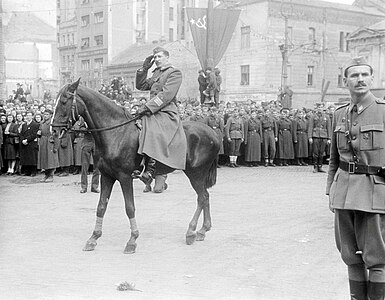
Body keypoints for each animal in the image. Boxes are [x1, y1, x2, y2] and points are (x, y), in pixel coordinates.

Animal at [51, 79, 219, 253]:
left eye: (64, 101)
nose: (54, 130)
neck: (116, 132)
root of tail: (213, 133)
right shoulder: (107, 176)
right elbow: (101, 206)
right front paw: (94, 238)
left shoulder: (125, 177)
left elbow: (129, 207)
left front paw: (132, 240)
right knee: (205, 197)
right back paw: (202, 230)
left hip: (196, 173)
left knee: (202, 197)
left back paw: (192, 231)